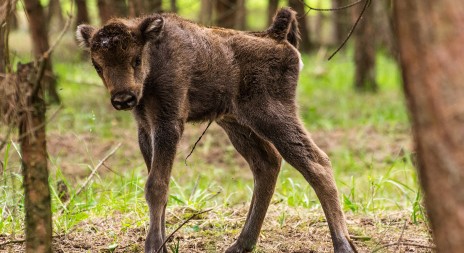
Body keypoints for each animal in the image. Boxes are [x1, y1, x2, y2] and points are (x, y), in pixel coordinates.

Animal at [77, 7, 356, 253]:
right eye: (97, 65)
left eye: (136, 58)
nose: (123, 98)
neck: (154, 57)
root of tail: (276, 36)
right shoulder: (146, 128)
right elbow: (157, 183)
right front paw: (162, 244)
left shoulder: (169, 123)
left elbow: (156, 186)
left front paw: (154, 246)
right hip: (236, 123)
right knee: (267, 163)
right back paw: (241, 244)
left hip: (272, 115)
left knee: (316, 163)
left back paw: (343, 245)